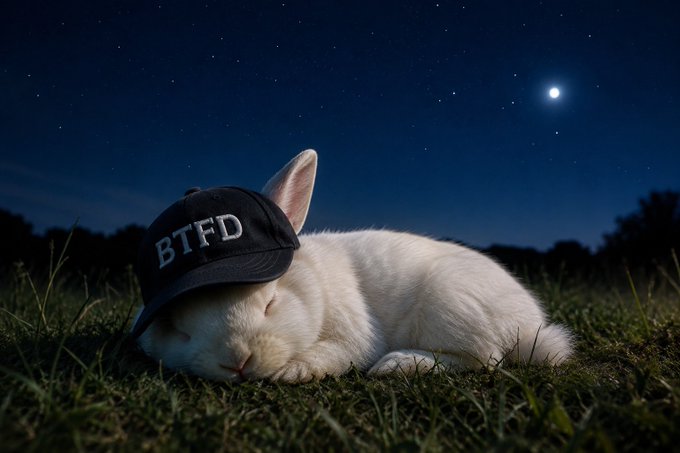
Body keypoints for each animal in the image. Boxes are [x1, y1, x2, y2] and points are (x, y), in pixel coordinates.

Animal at [134, 149, 574, 383]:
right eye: (178, 328)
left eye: (270, 303)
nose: (237, 363)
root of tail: (530, 326)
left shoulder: (354, 331)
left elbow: (340, 352)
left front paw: (291, 372)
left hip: (451, 307)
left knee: (486, 359)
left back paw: (396, 364)